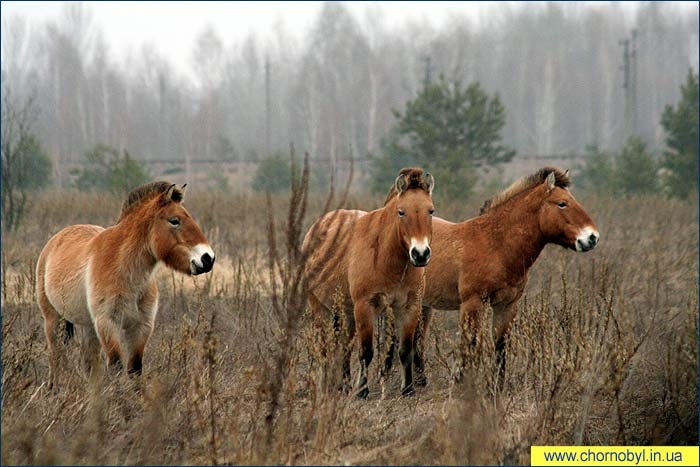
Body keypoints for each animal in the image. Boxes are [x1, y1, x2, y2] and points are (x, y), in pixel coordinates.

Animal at [34, 183, 213, 388]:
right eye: (174, 221)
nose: (208, 258)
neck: (124, 270)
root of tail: (55, 240)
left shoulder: (141, 326)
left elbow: (135, 369)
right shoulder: (108, 323)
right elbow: (116, 366)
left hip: (89, 326)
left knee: (89, 362)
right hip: (53, 319)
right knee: (55, 356)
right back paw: (54, 388)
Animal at [304, 168, 434, 398]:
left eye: (431, 211)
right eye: (401, 212)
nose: (420, 254)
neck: (385, 255)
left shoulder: (409, 306)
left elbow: (405, 349)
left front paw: (408, 388)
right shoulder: (365, 306)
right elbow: (366, 351)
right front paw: (362, 390)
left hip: (345, 312)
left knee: (344, 346)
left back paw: (343, 385)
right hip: (320, 307)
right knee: (325, 349)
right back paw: (328, 387)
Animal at [392, 168, 600, 388]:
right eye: (562, 203)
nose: (592, 237)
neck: (495, 245)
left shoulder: (506, 305)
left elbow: (500, 348)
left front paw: (498, 387)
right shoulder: (473, 303)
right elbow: (470, 345)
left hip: (423, 305)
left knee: (418, 341)